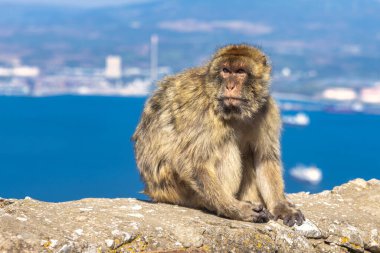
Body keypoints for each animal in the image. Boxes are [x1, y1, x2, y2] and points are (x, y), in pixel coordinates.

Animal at [132, 44, 304, 227]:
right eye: (225, 71)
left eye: (240, 72)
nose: (230, 86)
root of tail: (152, 190)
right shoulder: (199, 108)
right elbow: (194, 163)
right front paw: (236, 209)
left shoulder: (267, 110)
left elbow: (265, 158)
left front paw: (281, 206)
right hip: (175, 190)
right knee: (225, 146)